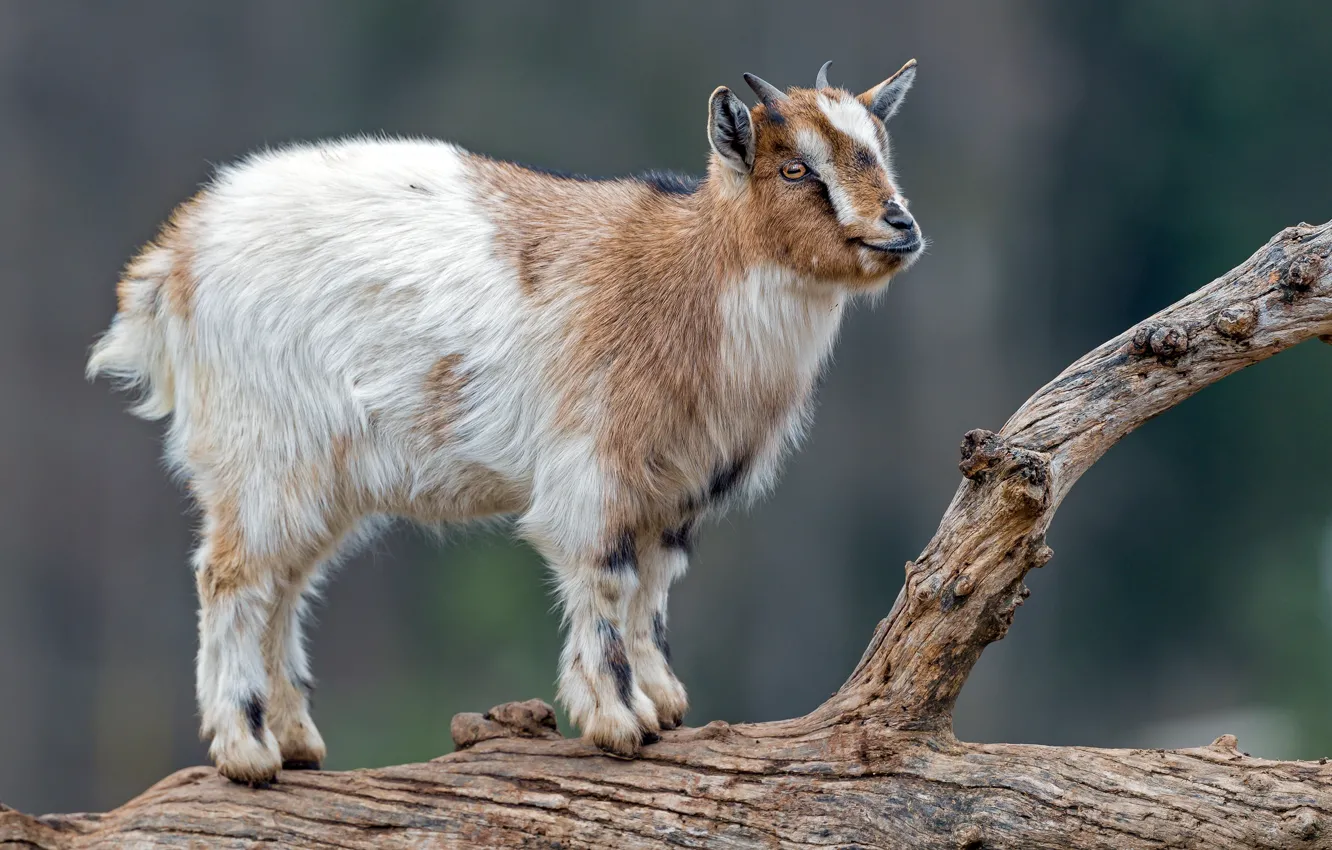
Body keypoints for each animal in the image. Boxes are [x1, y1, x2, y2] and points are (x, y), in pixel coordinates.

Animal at [87, 59, 923, 785]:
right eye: (796, 169)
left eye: (882, 152)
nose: (900, 225)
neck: (690, 274)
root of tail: (175, 261)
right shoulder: (594, 465)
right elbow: (607, 579)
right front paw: (617, 720)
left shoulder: (671, 486)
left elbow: (653, 589)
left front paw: (663, 705)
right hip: (264, 450)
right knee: (230, 577)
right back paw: (246, 752)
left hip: (319, 477)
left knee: (283, 586)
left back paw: (294, 741)